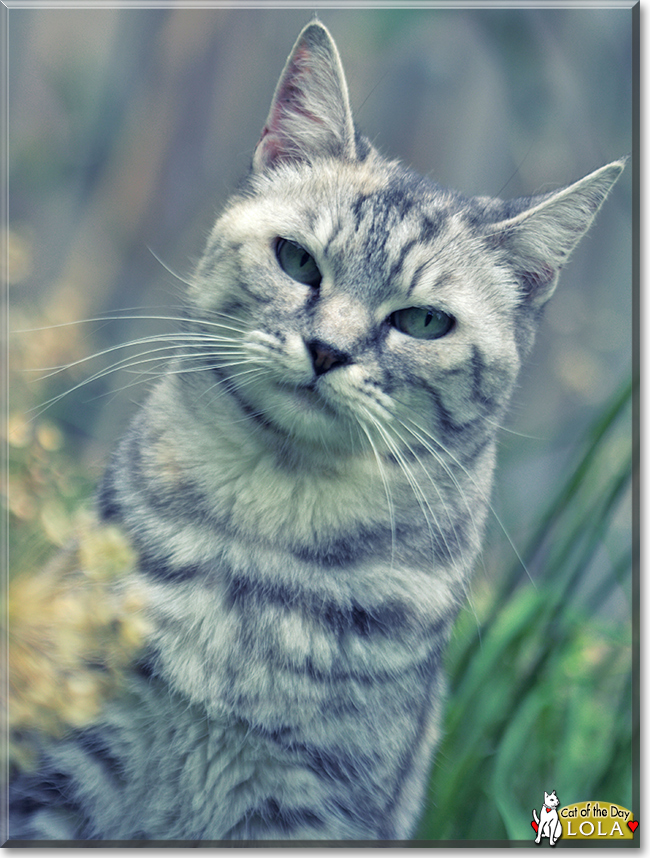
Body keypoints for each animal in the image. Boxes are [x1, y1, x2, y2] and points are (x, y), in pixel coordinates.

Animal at [6, 16, 624, 840]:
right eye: (298, 261)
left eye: (422, 323)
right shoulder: (62, 768)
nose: (327, 350)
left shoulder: (313, 806)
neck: (262, 549)